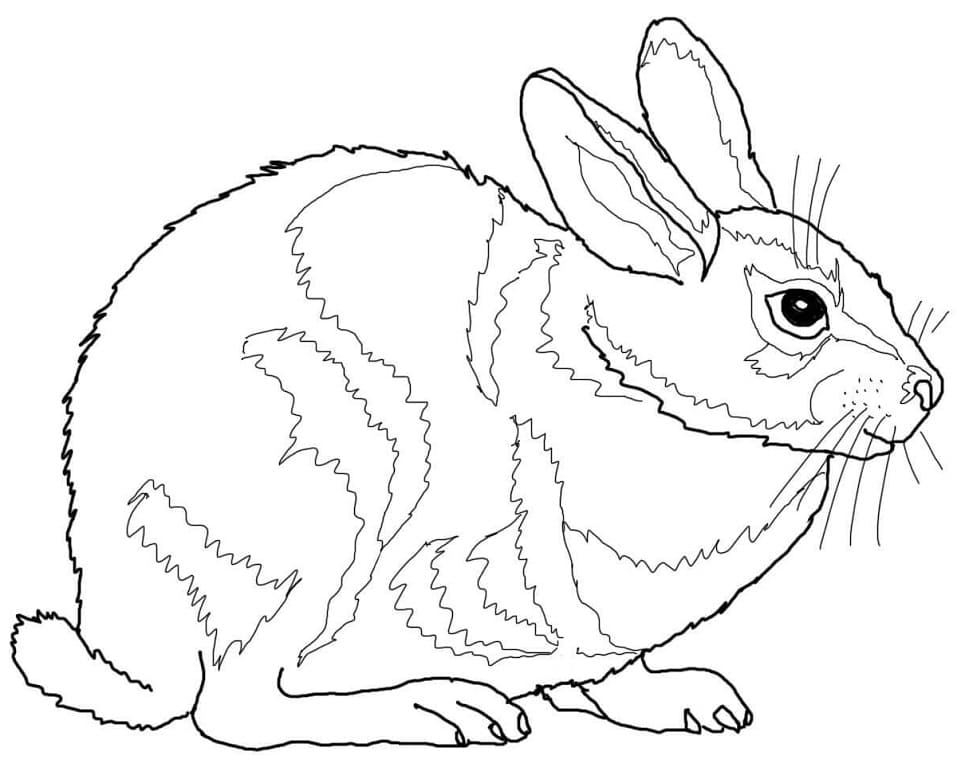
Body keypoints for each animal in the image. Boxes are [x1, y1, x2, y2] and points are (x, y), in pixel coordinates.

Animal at [11, 17, 943, 748]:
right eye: (800, 309)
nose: (927, 389)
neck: (626, 373)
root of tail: (127, 632)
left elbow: (610, 670)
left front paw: (689, 700)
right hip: (328, 500)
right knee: (235, 706)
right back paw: (440, 711)